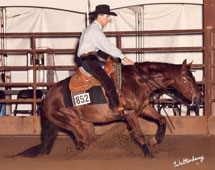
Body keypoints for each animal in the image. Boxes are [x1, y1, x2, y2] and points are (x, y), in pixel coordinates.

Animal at [15, 59, 203, 158]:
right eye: (187, 78)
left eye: (193, 77)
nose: (199, 97)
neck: (136, 82)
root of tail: (47, 99)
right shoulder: (130, 115)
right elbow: (139, 134)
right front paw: (148, 154)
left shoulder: (143, 108)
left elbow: (162, 120)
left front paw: (155, 140)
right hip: (73, 122)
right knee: (83, 142)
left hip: (86, 122)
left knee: (87, 141)